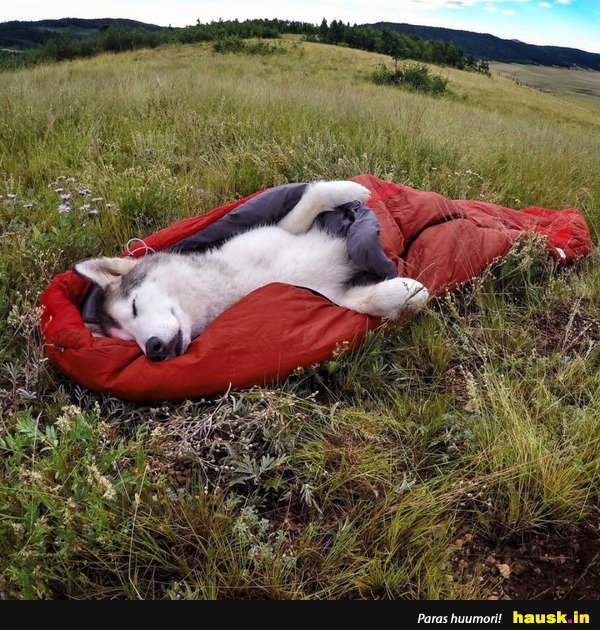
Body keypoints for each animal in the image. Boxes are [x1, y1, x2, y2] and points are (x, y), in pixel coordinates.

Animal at [74, 180, 429, 361]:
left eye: (134, 306)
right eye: (129, 340)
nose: (153, 350)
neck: (235, 283)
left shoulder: (281, 230)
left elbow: (311, 196)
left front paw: (349, 188)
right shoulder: (327, 296)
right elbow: (367, 300)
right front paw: (407, 291)